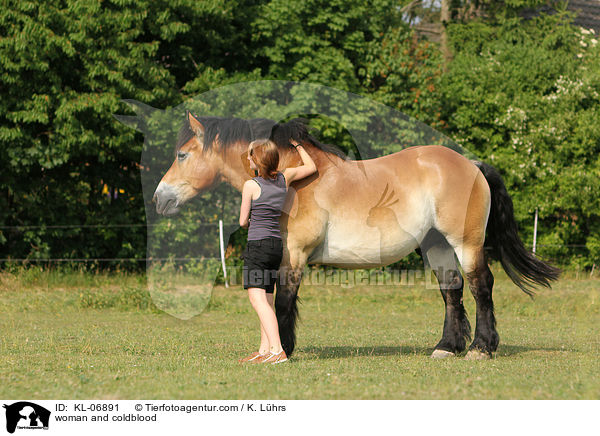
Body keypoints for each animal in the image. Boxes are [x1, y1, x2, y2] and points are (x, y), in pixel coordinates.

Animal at [152, 110, 560, 360]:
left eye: (182, 155)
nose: (159, 198)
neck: (289, 178)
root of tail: (471, 164)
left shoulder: (294, 254)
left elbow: (283, 301)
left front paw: (284, 349)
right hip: (436, 245)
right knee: (452, 289)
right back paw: (447, 346)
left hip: (466, 243)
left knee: (480, 285)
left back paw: (481, 347)